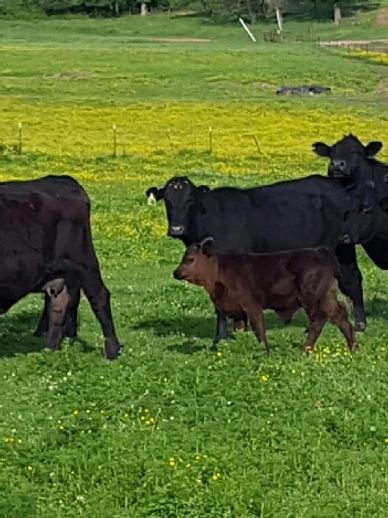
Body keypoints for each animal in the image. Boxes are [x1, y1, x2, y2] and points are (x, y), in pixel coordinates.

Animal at [0, 177, 121, 360]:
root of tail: (62, 179)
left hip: (85, 262)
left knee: (100, 297)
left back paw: (112, 351)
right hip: (61, 273)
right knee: (59, 305)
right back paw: (49, 350)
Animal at [146, 175, 370, 342]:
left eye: (189, 200)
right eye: (167, 200)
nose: (176, 229)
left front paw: (224, 336)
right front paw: (237, 329)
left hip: (342, 247)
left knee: (351, 278)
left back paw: (360, 324)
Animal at [174, 241, 358, 356]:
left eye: (190, 259)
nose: (176, 273)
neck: (222, 271)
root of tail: (319, 251)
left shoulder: (252, 305)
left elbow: (259, 329)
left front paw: (266, 352)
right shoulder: (236, 310)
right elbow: (239, 328)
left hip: (313, 299)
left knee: (318, 321)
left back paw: (305, 350)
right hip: (327, 297)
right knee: (340, 317)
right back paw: (353, 348)